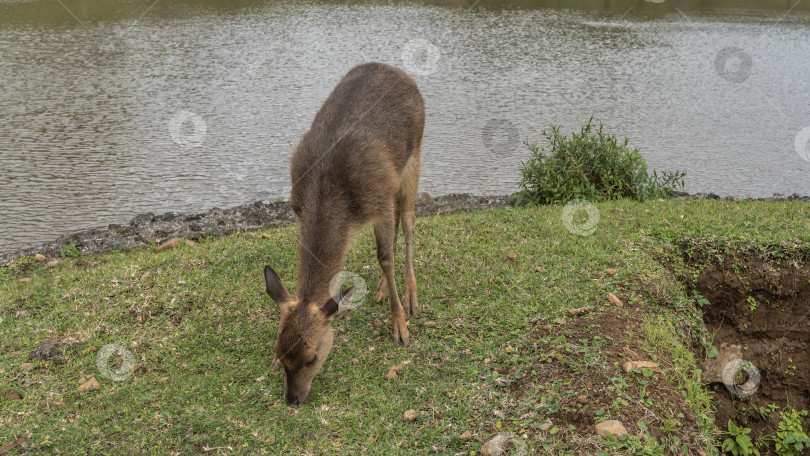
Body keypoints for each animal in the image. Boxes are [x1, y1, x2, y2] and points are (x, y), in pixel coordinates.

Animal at [263, 62, 424, 405]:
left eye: (311, 357)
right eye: (280, 352)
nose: (293, 399)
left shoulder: (379, 199)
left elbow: (385, 257)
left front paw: (401, 329)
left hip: (414, 156)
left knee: (408, 224)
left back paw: (411, 299)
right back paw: (380, 291)